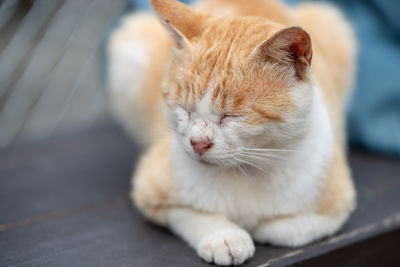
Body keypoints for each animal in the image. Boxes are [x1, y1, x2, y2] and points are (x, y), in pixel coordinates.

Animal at [107, 0, 356, 266]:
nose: (198, 143)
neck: (244, 171)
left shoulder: (337, 206)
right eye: (184, 109)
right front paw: (225, 238)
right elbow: (191, 214)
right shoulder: (150, 190)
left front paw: (257, 227)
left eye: (231, 116)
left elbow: (288, 230)